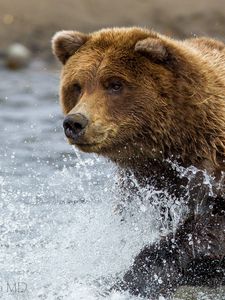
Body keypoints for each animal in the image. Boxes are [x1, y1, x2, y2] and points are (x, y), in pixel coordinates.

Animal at [51, 27, 225, 298]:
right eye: (77, 86)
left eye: (114, 84)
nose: (75, 122)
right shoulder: (143, 183)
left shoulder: (213, 166)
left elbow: (206, 229)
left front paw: (137, 275)